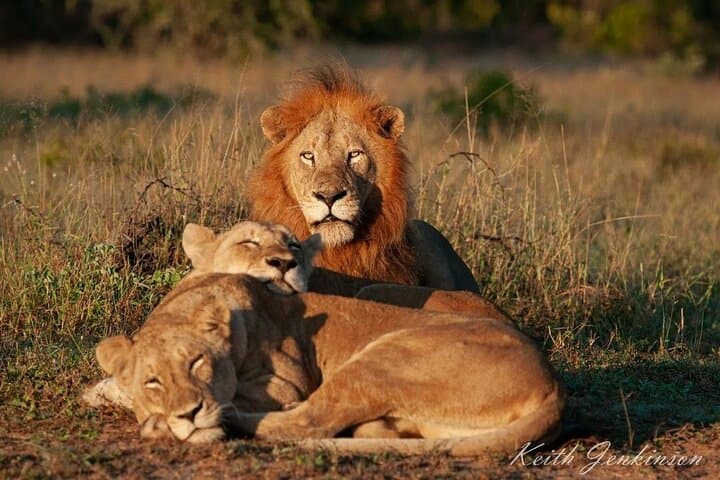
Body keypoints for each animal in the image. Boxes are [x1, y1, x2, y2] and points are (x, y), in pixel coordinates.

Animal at [87, 224, 565, 456]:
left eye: (198, 364)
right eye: (154, 381)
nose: (189, 412)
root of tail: (553, 381)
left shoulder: (287, 382)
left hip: (385, 353)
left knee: (306, 421)